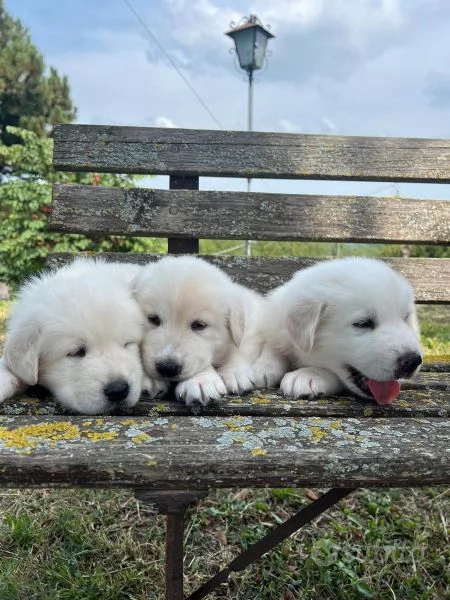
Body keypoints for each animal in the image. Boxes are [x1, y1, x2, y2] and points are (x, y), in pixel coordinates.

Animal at [135, 255, 266, 410]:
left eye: (199, 325)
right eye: (153, 319)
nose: (167, 368)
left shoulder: (252, 326)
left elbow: (240, 348)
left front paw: (233, 373)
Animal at [255, 255, 424, 406]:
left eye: (405, 318)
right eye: (363, 323)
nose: (413, 361)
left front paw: (308, 375)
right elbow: (270, 345)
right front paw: (262, 366)